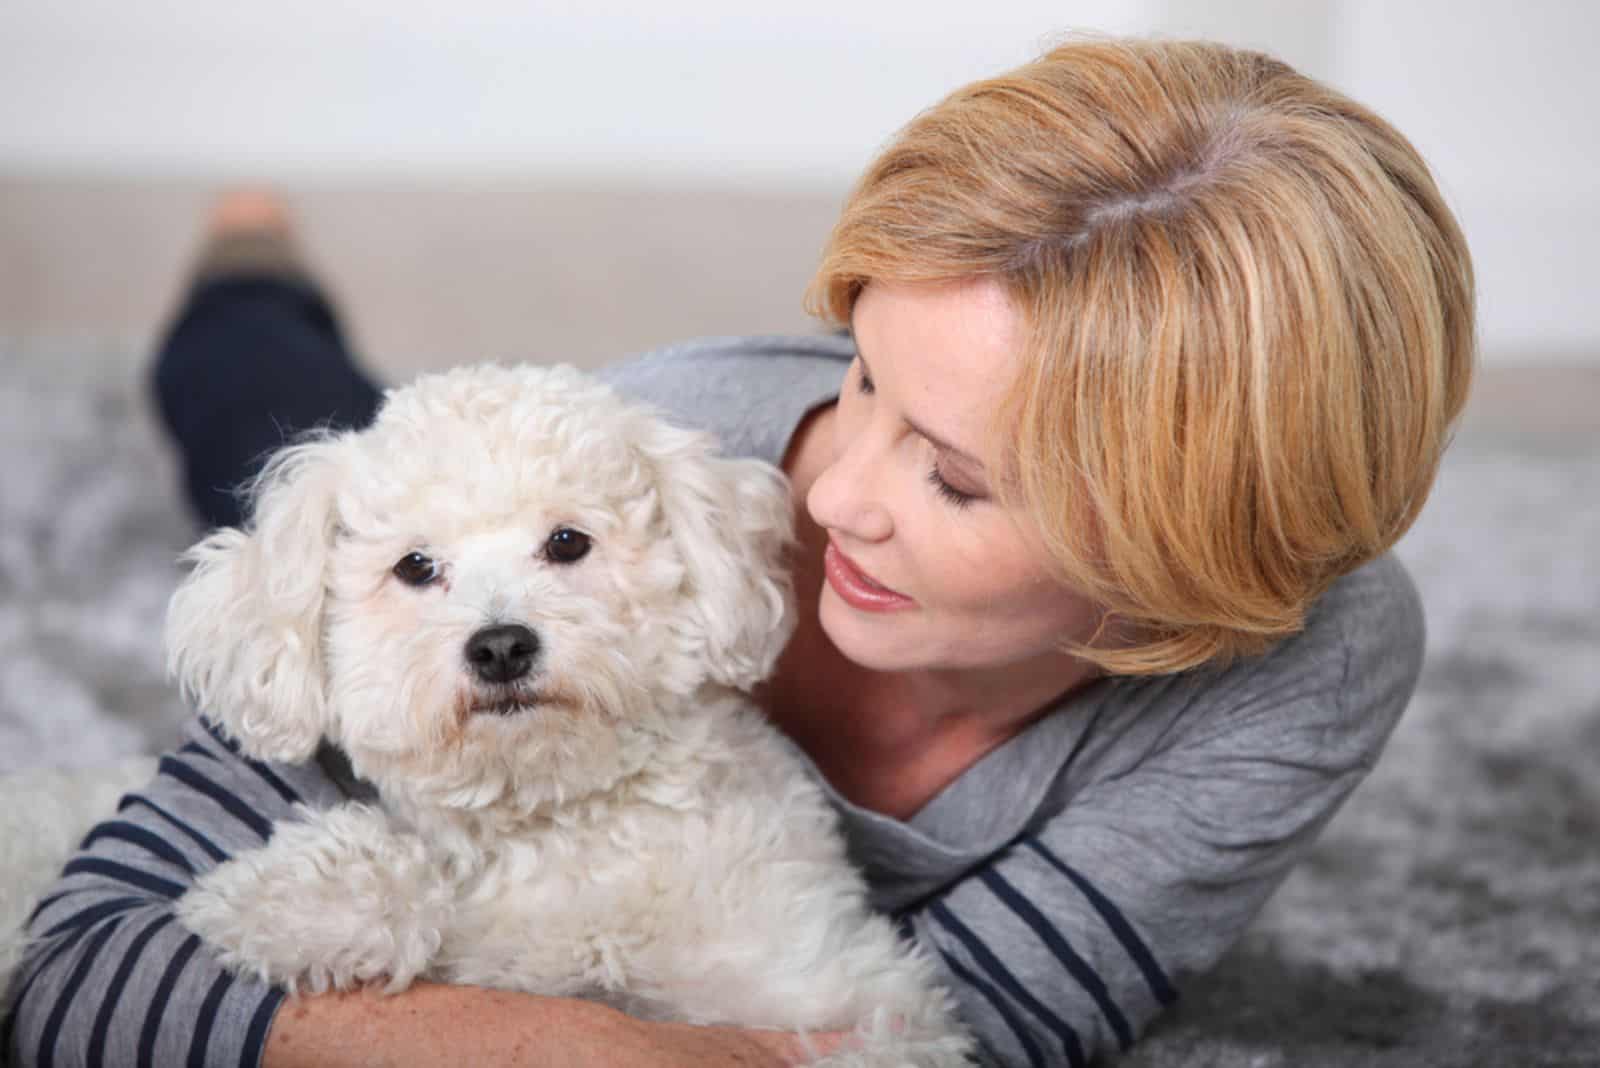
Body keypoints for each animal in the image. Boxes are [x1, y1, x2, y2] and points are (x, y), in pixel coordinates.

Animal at [168, 362, 966, 1061]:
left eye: (567, 542)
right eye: (415, 566)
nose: (500, 647)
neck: (559, 818)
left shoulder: (853, 983)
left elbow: (880, 1042)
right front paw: (290, 904)